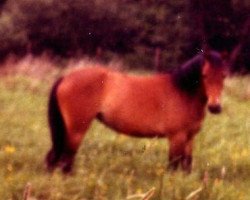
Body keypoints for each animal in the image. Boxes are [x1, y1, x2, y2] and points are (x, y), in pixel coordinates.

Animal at [45, 50, 227, 173]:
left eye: (224, 76)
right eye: (204, 75)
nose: (215, 107)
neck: (182, 90)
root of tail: (65, 78)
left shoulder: (189, 138)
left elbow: (186, 165)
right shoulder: (177, 137)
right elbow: (173, 166)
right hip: (76, 130)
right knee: (65, 159)